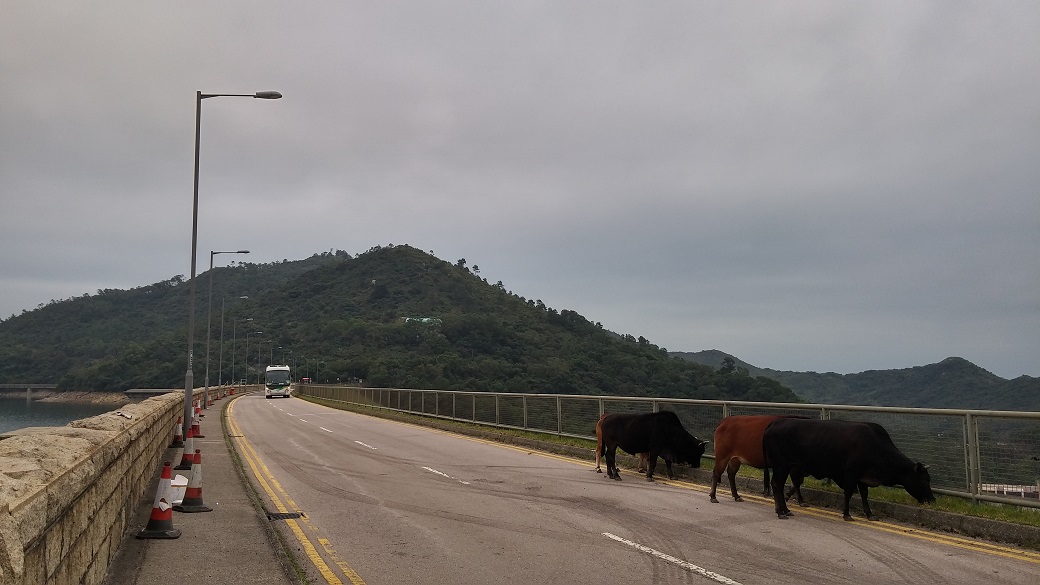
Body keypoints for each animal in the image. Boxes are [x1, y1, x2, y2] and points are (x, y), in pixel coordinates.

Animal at [761, 414, 940, 518]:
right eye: (925, 480)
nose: (932, 499)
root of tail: (775, 423)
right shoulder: (851, 474)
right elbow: (848, 493)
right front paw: (846, 514)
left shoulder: (863, 477)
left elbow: (864, 495)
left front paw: (869, 514)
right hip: (781, 465)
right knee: (777, 484)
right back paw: (781, 512)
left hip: (788, 466)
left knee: (785, 484)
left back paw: (786, 509)